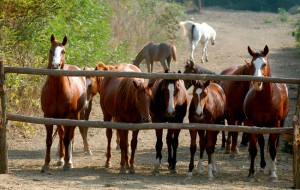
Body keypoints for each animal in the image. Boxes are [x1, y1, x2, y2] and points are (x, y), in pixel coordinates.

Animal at [40, 34, 86, 172]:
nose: (56, 66)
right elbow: (49, 140)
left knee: (70, 136)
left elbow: (67, 139)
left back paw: (68, 160)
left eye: (63, 51)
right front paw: (46, 164)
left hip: (74, 116)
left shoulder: (68, 117)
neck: (57, 91)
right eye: (50, 50)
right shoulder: (48, 117)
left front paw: (68, 163)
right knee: (61, 134)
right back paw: (60, 158)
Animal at [244, 45, 290, 183]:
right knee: (262, 143)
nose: (257, 83)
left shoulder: (276, 124)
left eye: (264, 64)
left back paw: (271, 167)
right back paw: (263, 166)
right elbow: (253, 149)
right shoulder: (252, 124)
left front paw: (274, 174)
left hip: (280, 124)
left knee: (275, 144)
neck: (266, 100)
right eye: (252, 64)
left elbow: (273, 149)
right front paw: (251, 173)